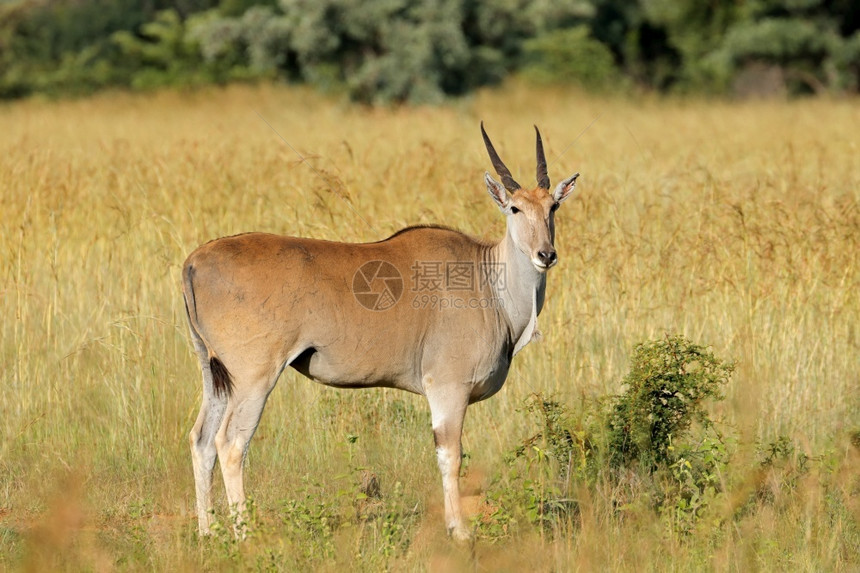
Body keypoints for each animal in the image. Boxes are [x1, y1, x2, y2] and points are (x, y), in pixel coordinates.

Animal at [185, 123, 580, 540]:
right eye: (515, 208)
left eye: (553, 207)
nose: (546, 255)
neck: (486, 277)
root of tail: (195, 261)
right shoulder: (447, 388)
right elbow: (450, 455)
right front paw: (458, 531)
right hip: (254, 378)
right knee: (230, 443)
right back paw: (245, 535)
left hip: (214, 374)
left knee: (201, 441)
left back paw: (207, 532)